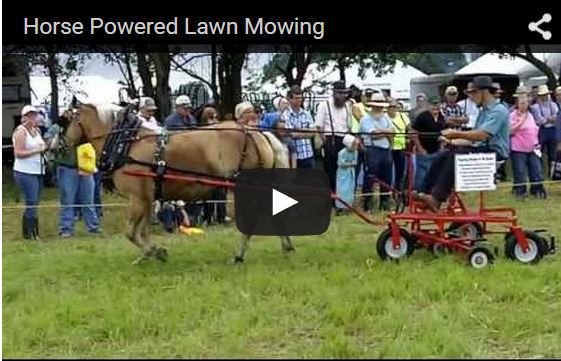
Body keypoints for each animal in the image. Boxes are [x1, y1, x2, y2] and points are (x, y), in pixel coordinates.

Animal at [64, 102, 294, 262]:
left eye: (70, 119)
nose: (63, 142)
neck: (126, 142)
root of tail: (255, 132)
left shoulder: (137, 198)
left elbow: (130, 233)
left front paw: (154, 252)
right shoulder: (148, 198)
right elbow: (143, 230)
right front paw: (149, 254)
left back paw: (240, 254)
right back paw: (285, 245)